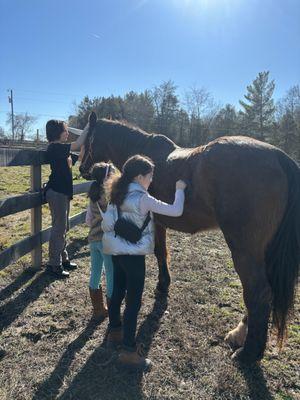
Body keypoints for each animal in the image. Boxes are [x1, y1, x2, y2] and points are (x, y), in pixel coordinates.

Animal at [78, 111, 298, 362]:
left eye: (88, 138)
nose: (82, 168)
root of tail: (280, 157)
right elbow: (162, 253)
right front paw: (164, 285)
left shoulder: (155, 221)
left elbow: (159, 252)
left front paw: (162, 285)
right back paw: (240, 333)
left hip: (245, 250)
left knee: (258, 292)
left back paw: (248, 352)